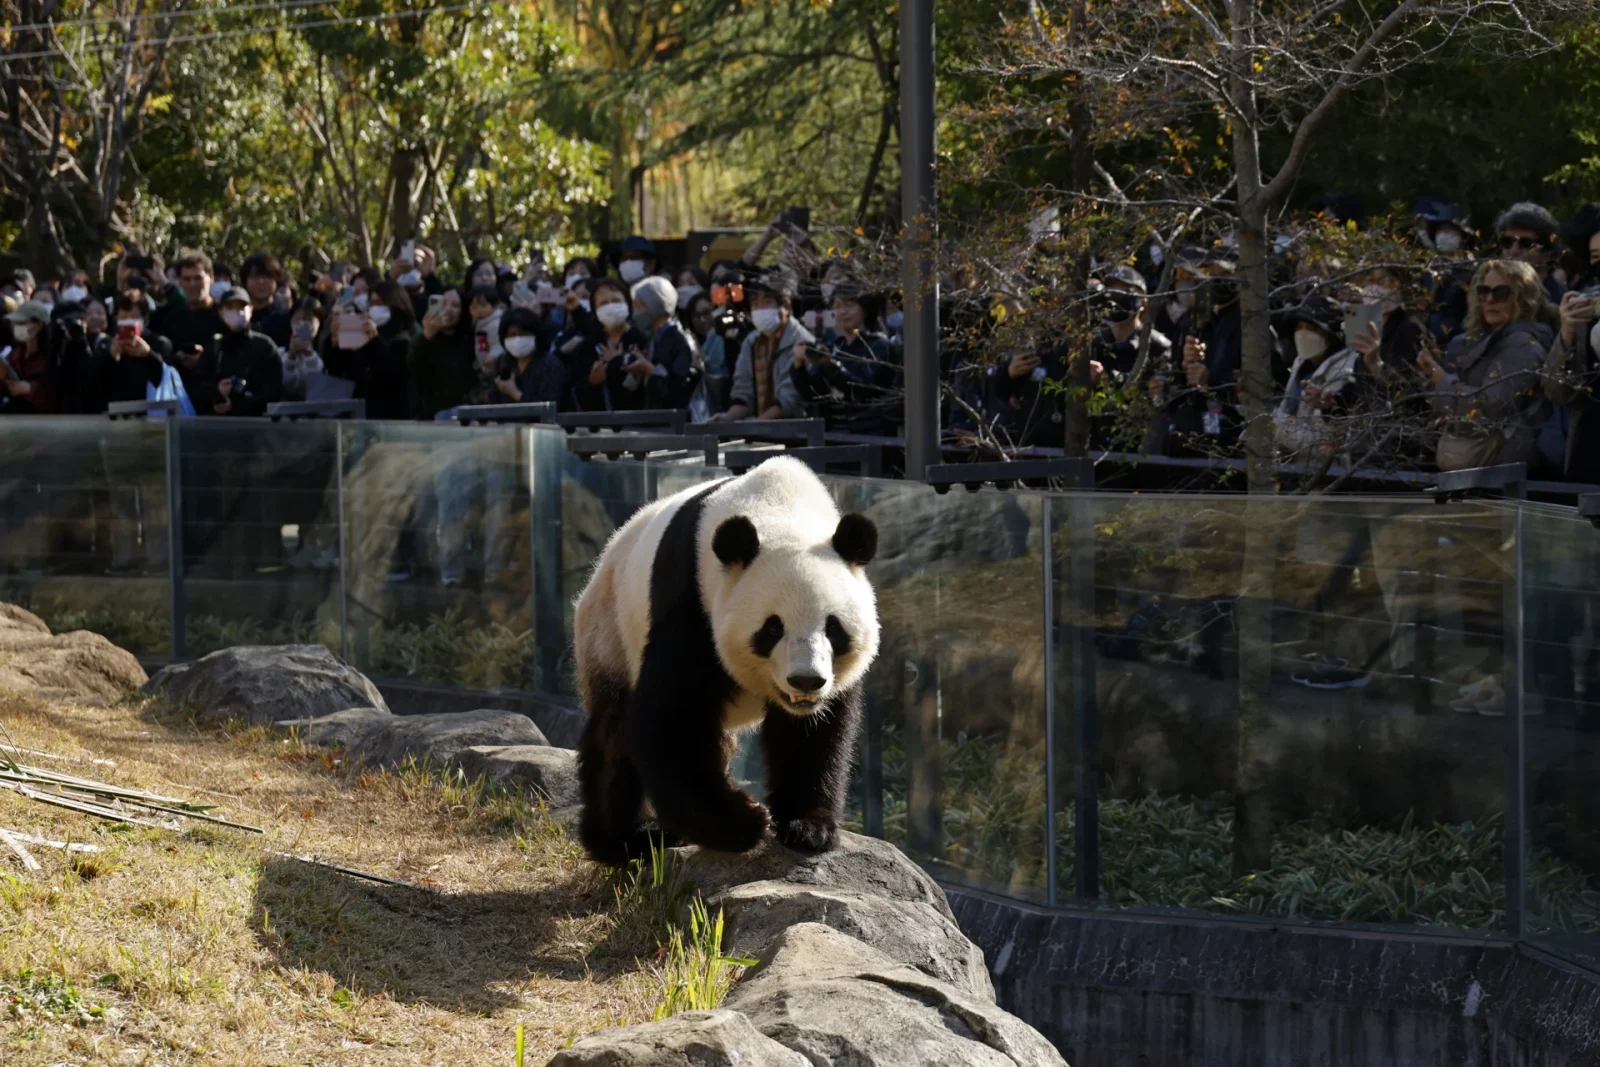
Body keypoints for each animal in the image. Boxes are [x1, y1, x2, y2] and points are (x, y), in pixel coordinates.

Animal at [573, 455, 880, 866]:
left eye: (833, 628)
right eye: (772, 628)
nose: (806, 681)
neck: (783, 510)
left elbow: (813, 735)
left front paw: (808, 828)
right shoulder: (692, 603)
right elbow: (672, 718)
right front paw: (744, 822)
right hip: (611, 629)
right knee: (615, 733)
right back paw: (629, 838)